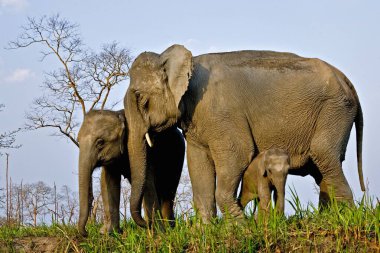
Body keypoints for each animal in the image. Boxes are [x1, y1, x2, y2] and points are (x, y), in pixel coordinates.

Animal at [123, 44, 364, 226]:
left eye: (141, 99)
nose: (145, 224)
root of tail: (348, 81)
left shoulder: (222, 114)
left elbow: (238, 155)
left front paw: (241, 227)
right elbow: (198, 164)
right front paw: (206, 230)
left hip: (335, 110)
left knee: (323, 155)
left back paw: (346, 219)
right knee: (320, 167)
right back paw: (329, 217)